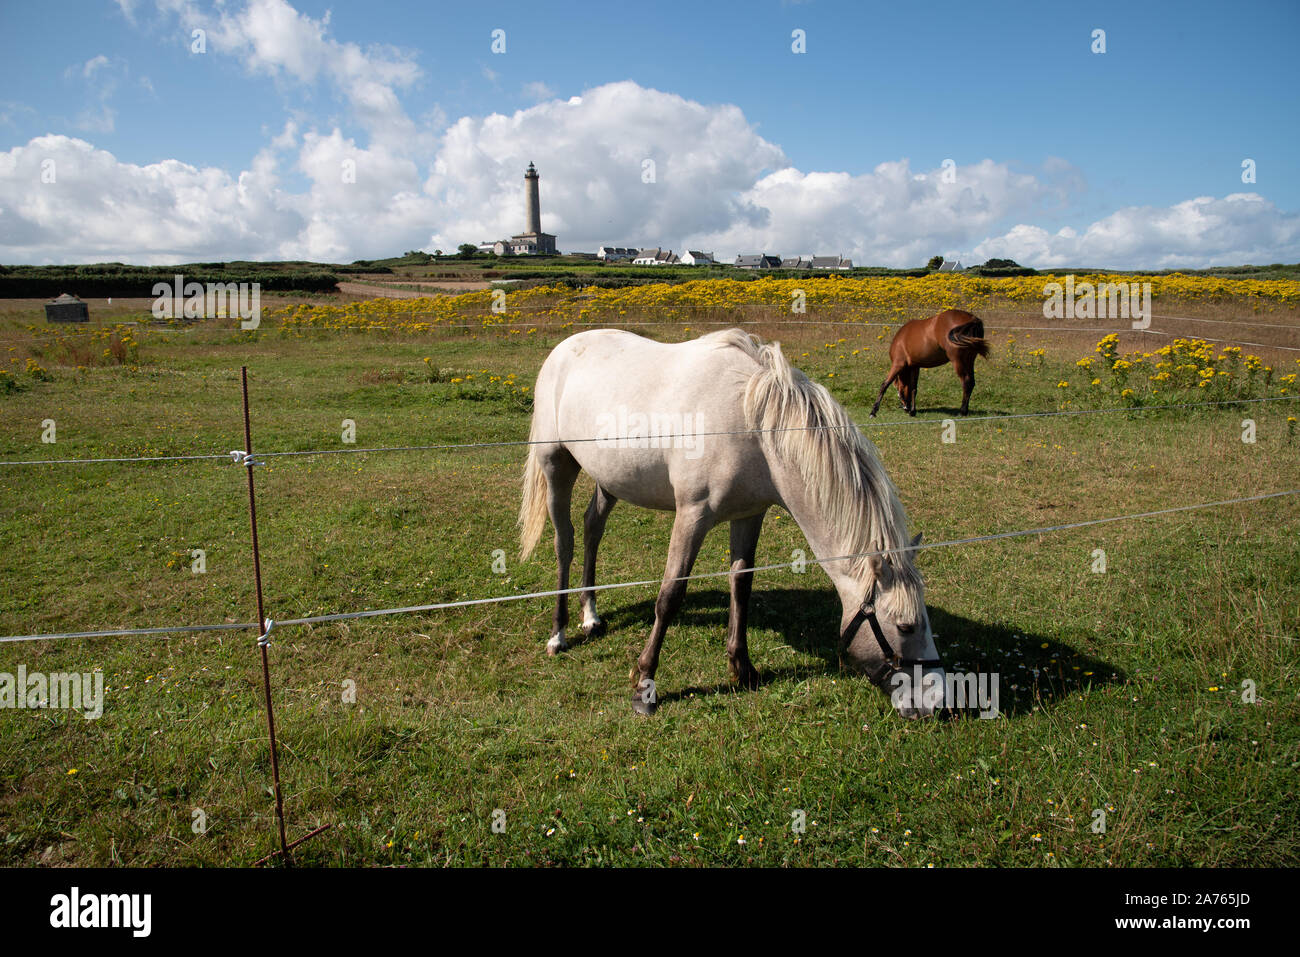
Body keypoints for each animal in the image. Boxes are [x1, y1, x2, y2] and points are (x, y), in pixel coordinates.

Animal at [520, 328, 956, 717]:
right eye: (905, 627)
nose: (935, 703)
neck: (752, 421)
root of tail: (564, 347)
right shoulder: (692, 515)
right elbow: (669, 596)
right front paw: (645, 685)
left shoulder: (749, 515)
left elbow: (741, 586)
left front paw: (742, 668)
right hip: (556, 465)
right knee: (565, 542)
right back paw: (559, 634)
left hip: (609, 479)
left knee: (592, 528)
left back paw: (591, 617)